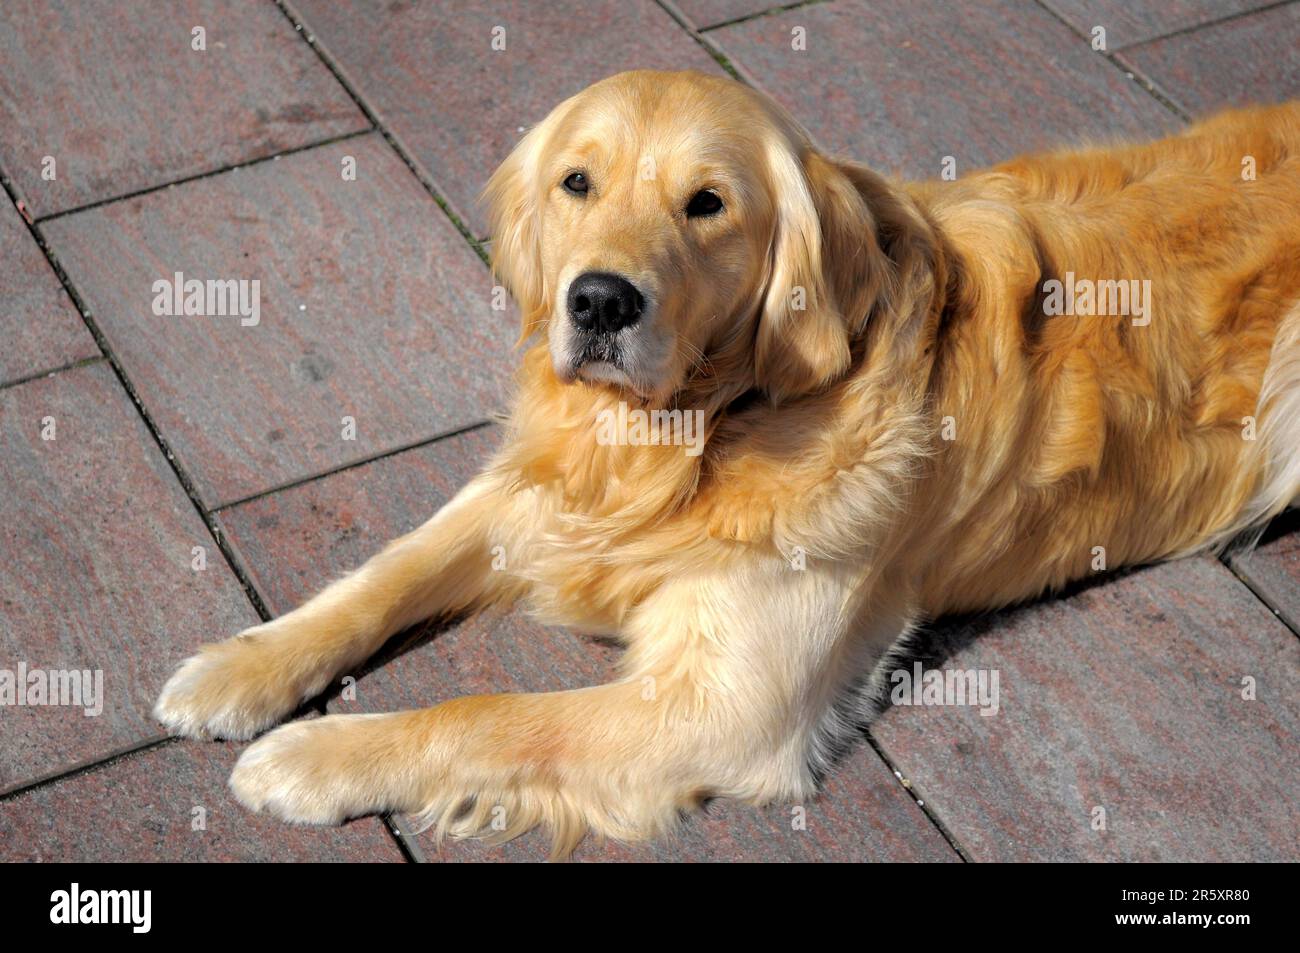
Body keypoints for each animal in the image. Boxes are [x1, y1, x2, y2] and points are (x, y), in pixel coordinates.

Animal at [157, 68, 1300, 852]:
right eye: (577, 181)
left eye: (707, 203)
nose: (599, 301)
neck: (698, 432)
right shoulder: (542, 487)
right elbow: (383, 572)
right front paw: (240, 666)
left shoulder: (724, 703)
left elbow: (491, 713)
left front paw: (311, 756)